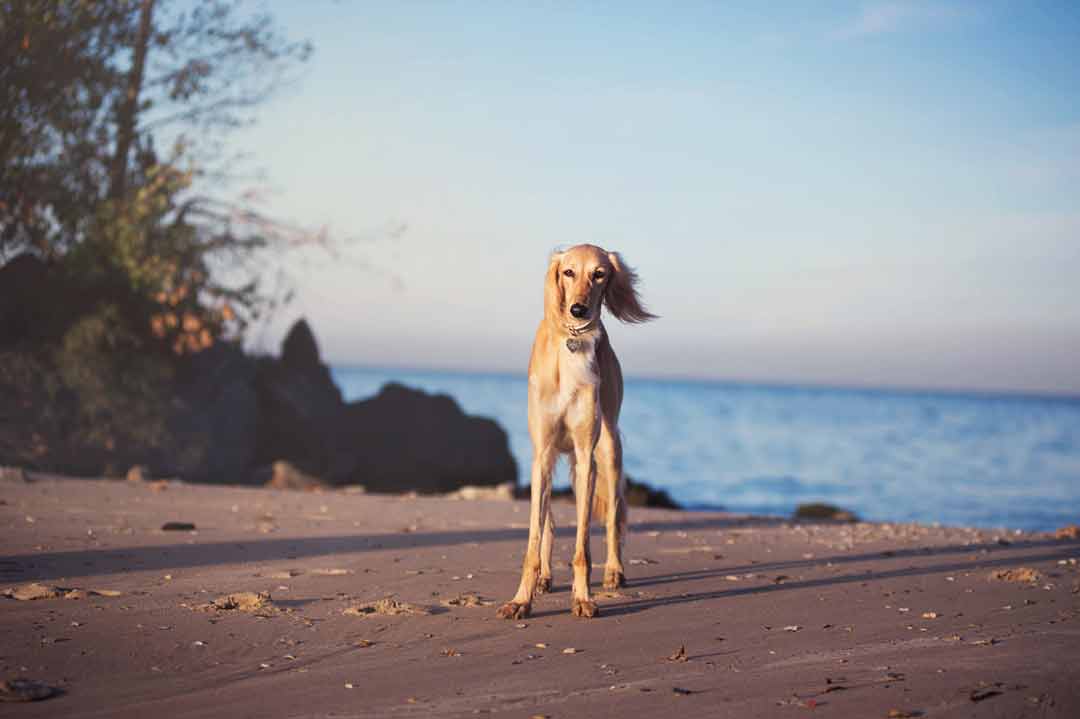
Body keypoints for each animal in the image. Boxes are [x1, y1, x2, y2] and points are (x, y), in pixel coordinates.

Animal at [494, 241, 652, 617]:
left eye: (599, 273)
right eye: (568, 272)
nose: (578, 310)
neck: (572, 341)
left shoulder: (585, 457)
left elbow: (583, 543)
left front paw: (582, 597)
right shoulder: (542, 455)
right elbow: (536, 537)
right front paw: (521, 599)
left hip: (609, 450)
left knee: (613, 516)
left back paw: (614, 572)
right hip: (551, 460)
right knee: (549, 522)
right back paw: (544, 578)